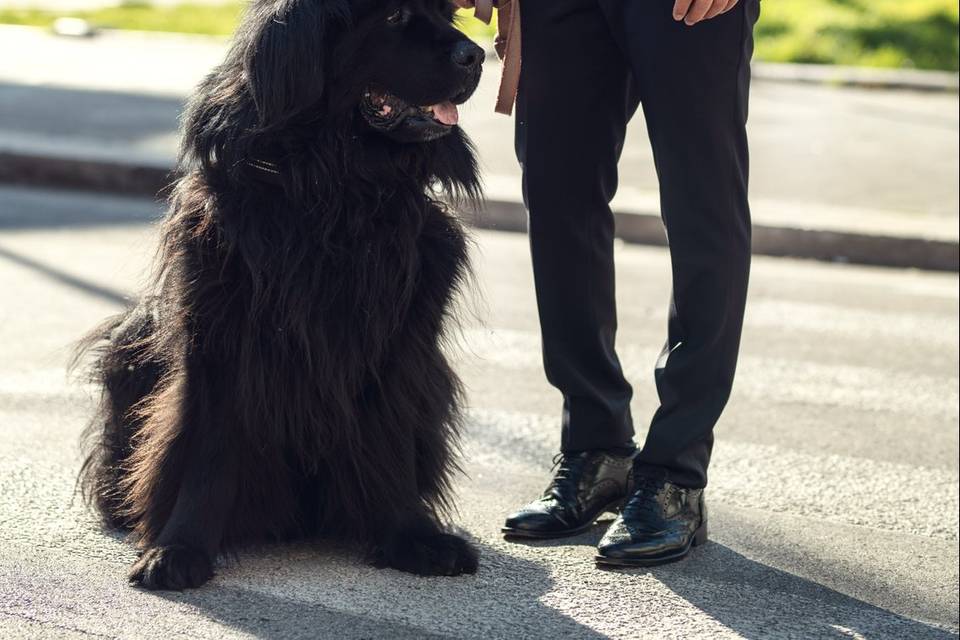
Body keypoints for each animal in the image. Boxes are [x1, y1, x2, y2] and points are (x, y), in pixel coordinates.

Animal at [78, 0, 488, 592]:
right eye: (392, 17)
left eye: (449, 15)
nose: (478, 55)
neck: (334, 189)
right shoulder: (220, 337)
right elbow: (208, 448)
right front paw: (178, 548)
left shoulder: (398, 343)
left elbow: (389, 438)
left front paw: (412, 536)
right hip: (134, 338)